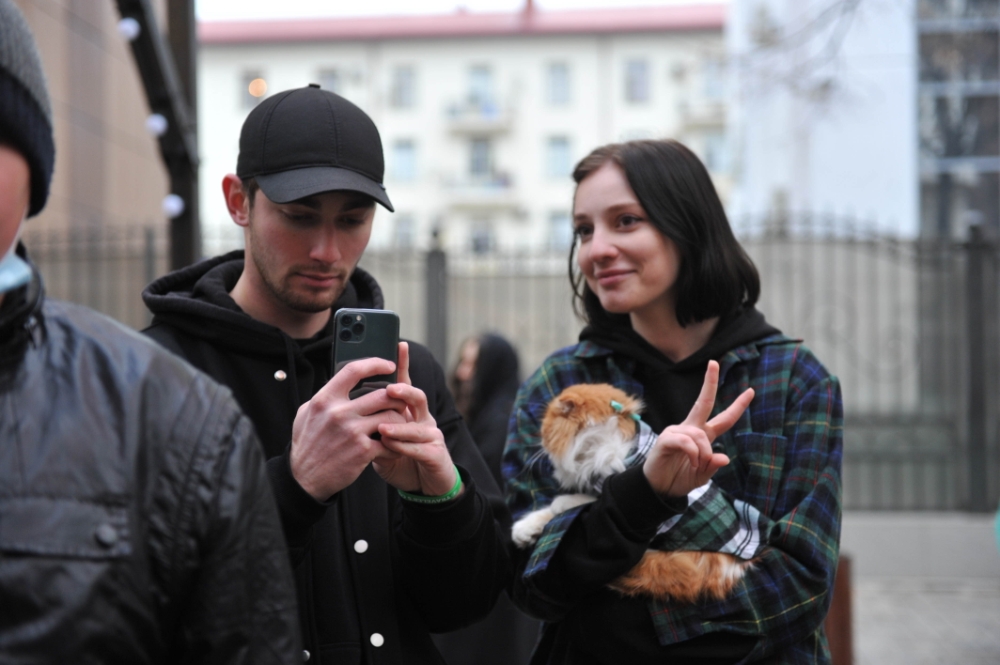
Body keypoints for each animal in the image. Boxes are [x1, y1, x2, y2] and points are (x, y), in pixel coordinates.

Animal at [511, 383, 754, 604]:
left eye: (546, 429)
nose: (541, 441)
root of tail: (734, 563)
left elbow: (581, 502)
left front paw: (558, 504)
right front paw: (523, 531)